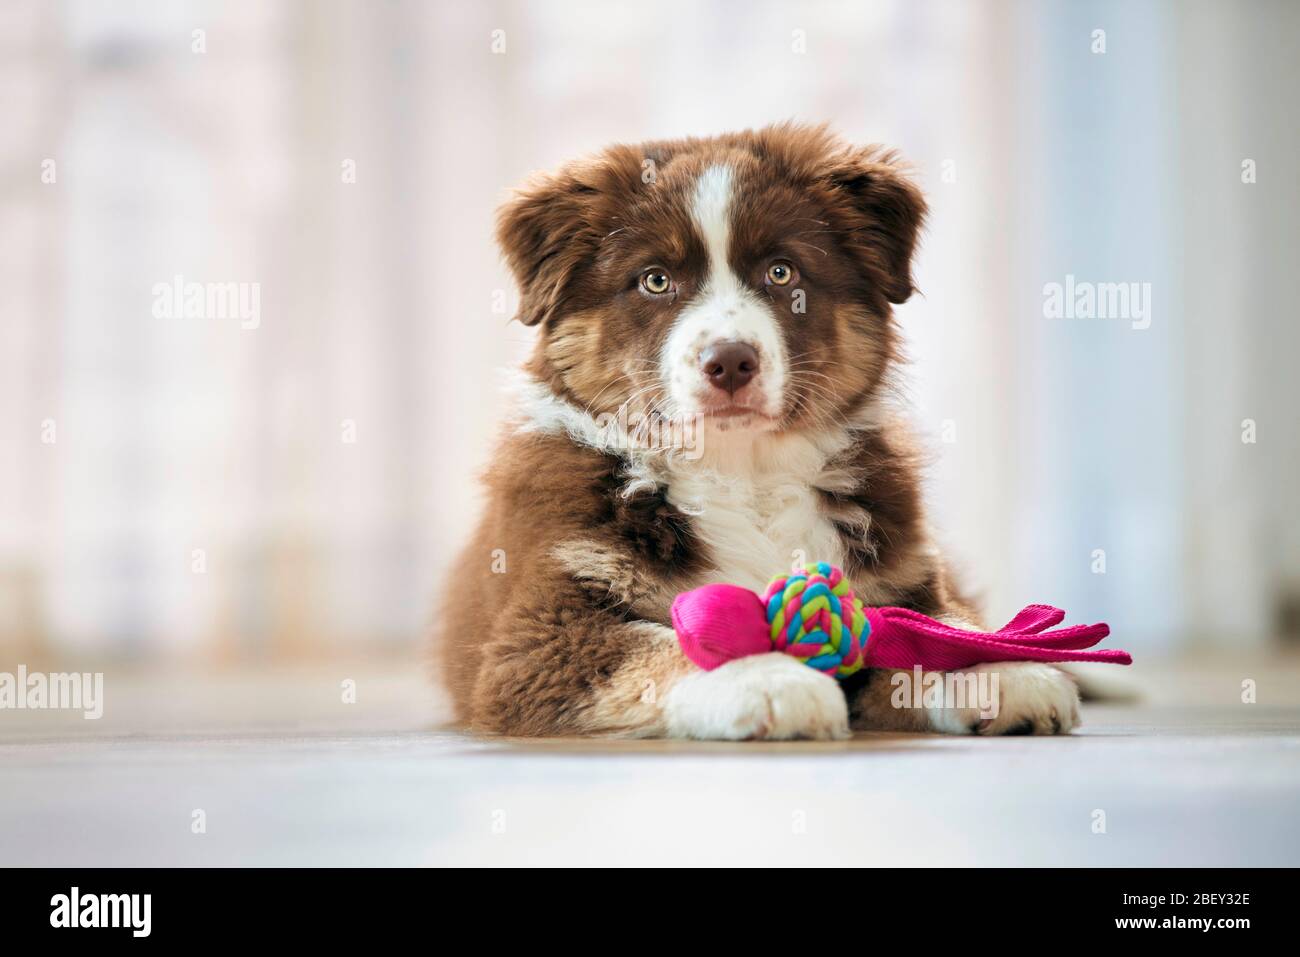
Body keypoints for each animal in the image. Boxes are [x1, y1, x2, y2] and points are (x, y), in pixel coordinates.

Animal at [434, 123, 1076, 738]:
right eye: (655, 280)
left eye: (781, 271)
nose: (730, 361)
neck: (741, 469)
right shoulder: (538, 635)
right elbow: (669, 642)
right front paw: (766, 677)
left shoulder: (903, 583)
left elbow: (938, 631)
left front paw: (1000, 670)